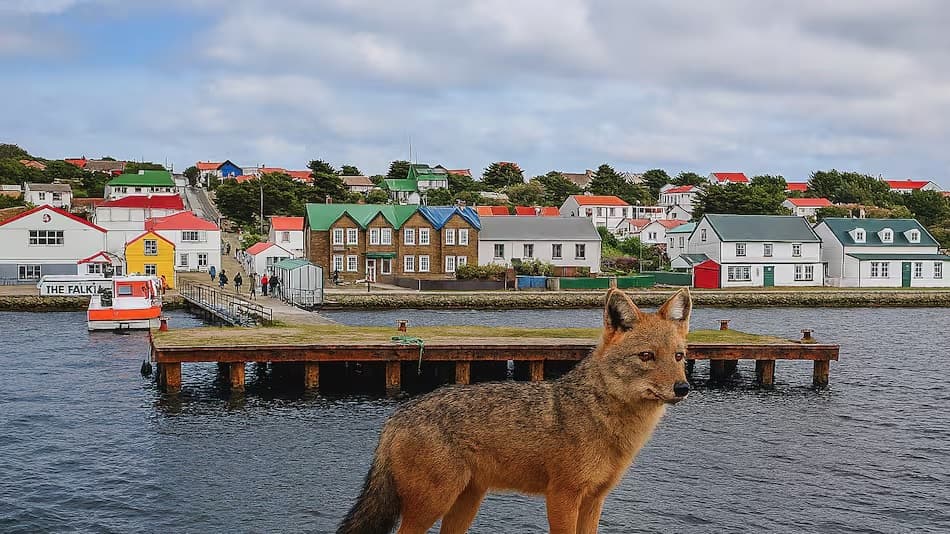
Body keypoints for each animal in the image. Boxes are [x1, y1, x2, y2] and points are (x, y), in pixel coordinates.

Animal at [337, 288, 692, 534]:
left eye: (679, 356)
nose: (683, 388)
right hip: (433, 505)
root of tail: (396, 416)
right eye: (646, 356)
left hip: (464, 503)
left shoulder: (594, 500)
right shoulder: (562, 496)